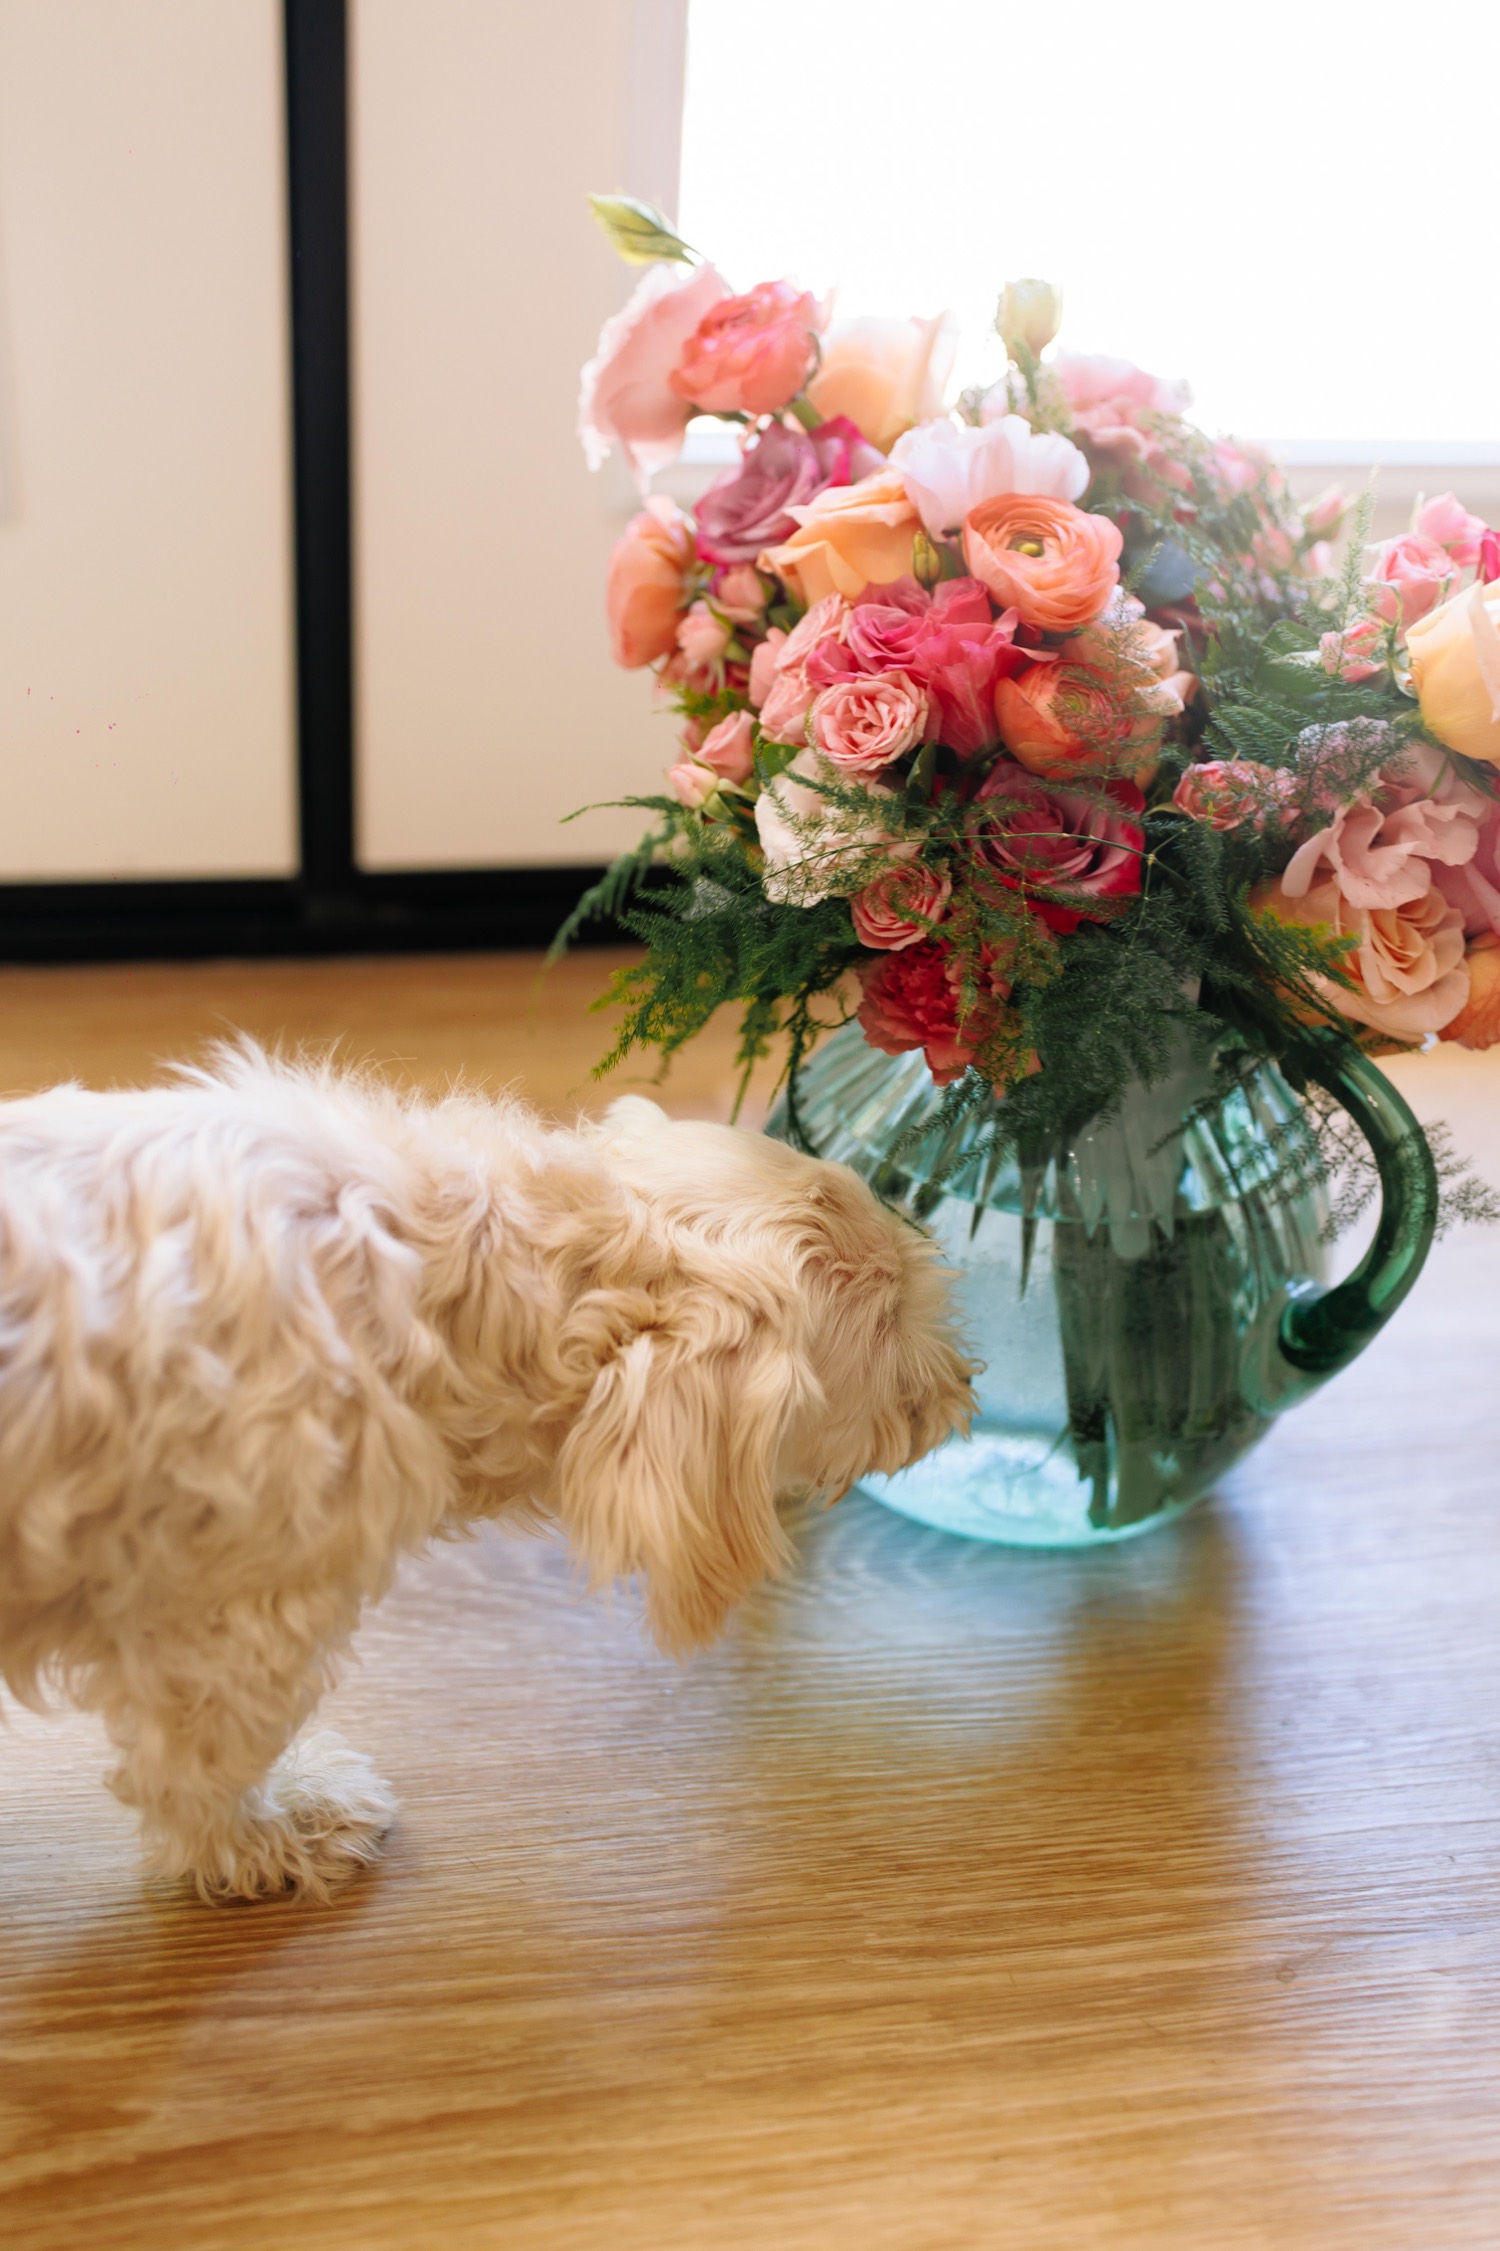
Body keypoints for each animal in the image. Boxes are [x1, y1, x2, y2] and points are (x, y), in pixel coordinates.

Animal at [0, 1048, 968, 1899]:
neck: (443, 1270)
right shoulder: (230, 1614)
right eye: (886, 1319)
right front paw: (264, 1832)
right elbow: (202, 1759)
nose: (964, 1386)